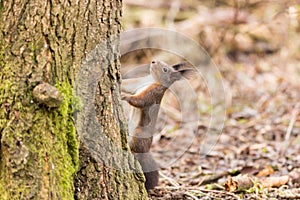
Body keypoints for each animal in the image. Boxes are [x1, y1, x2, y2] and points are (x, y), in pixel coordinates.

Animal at [121, 60, 192, 191]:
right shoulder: (137, 83)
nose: (153, 61)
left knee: (137, 149)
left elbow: (141, 101)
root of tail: (147, 150)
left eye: (165, 69)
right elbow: (127, 84)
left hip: (139, 133)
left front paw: (124, 96)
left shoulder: (153, 93)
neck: (152, 79)